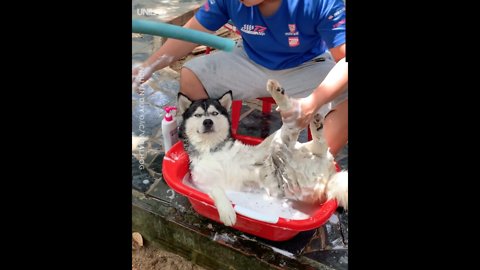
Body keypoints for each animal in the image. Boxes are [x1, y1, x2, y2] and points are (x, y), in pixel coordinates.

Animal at [178, 79, 346, 226]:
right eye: (198, 115)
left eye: (214, 113)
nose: (208, 122)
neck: (213, 149)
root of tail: (329, 176)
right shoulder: (202, 184)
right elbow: (218, 190)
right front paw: (227, 211)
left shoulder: (253, 154)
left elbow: (265, 144)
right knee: (308, 142)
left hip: (289, 149)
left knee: (296, 133)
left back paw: (287, 103)